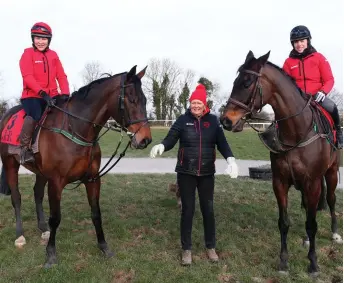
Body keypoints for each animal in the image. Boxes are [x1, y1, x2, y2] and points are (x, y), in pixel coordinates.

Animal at [0, 65, 152, 268]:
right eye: (131, 99)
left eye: (145, 100)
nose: (145, 139)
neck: (76, 128)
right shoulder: (56, 182)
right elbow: (55, 218)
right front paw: (50, 254)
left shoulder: (92, 179)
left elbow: (96, 213)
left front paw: (104, 247)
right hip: (10, 165)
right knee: (16, 198)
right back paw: (20, 235)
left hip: (41, 173)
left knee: (37, 193)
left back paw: (43, 228)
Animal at [220, 50, 342, 276]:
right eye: (235, 81)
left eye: (247, 82)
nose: (226, 120)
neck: (297, 132)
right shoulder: (280, 182)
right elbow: (284, 222)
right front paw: (284, 261)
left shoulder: (312, 183)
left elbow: (312, 223)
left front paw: (313, 263)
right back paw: (306, 239)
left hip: (330, 173)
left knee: (330, 200)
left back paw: (335, 233)